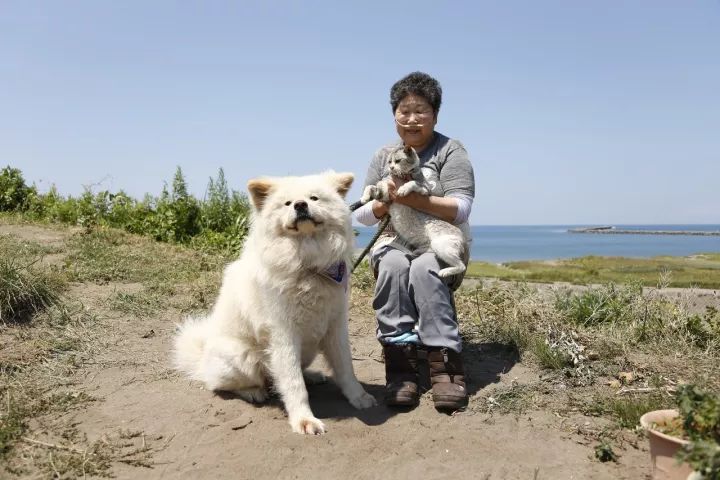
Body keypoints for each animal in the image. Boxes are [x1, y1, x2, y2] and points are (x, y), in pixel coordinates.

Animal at [175, 172, 376, 436]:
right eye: (288, 203)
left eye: (314, 198)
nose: (301, 205)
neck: (307, 265)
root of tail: (201, 359)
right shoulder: (284, 334)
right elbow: (293, 382)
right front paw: (304, 420)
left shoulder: (335, 326)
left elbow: (346, 368)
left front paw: (359, 397)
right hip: (243, 357)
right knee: (220, 384)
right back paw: (253, 392)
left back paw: (312, 375)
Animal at [360, 145, 466, 278]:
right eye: (389, 162)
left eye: (398, 161)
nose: (391, 168)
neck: (402, 176)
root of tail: (462, 237)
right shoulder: (384, 196)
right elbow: (371, 187)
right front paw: (364, 198)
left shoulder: (425, 190)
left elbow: (413, 182)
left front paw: (403, 189)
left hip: (441, 246)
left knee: (461, 266)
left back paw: (445, 272)